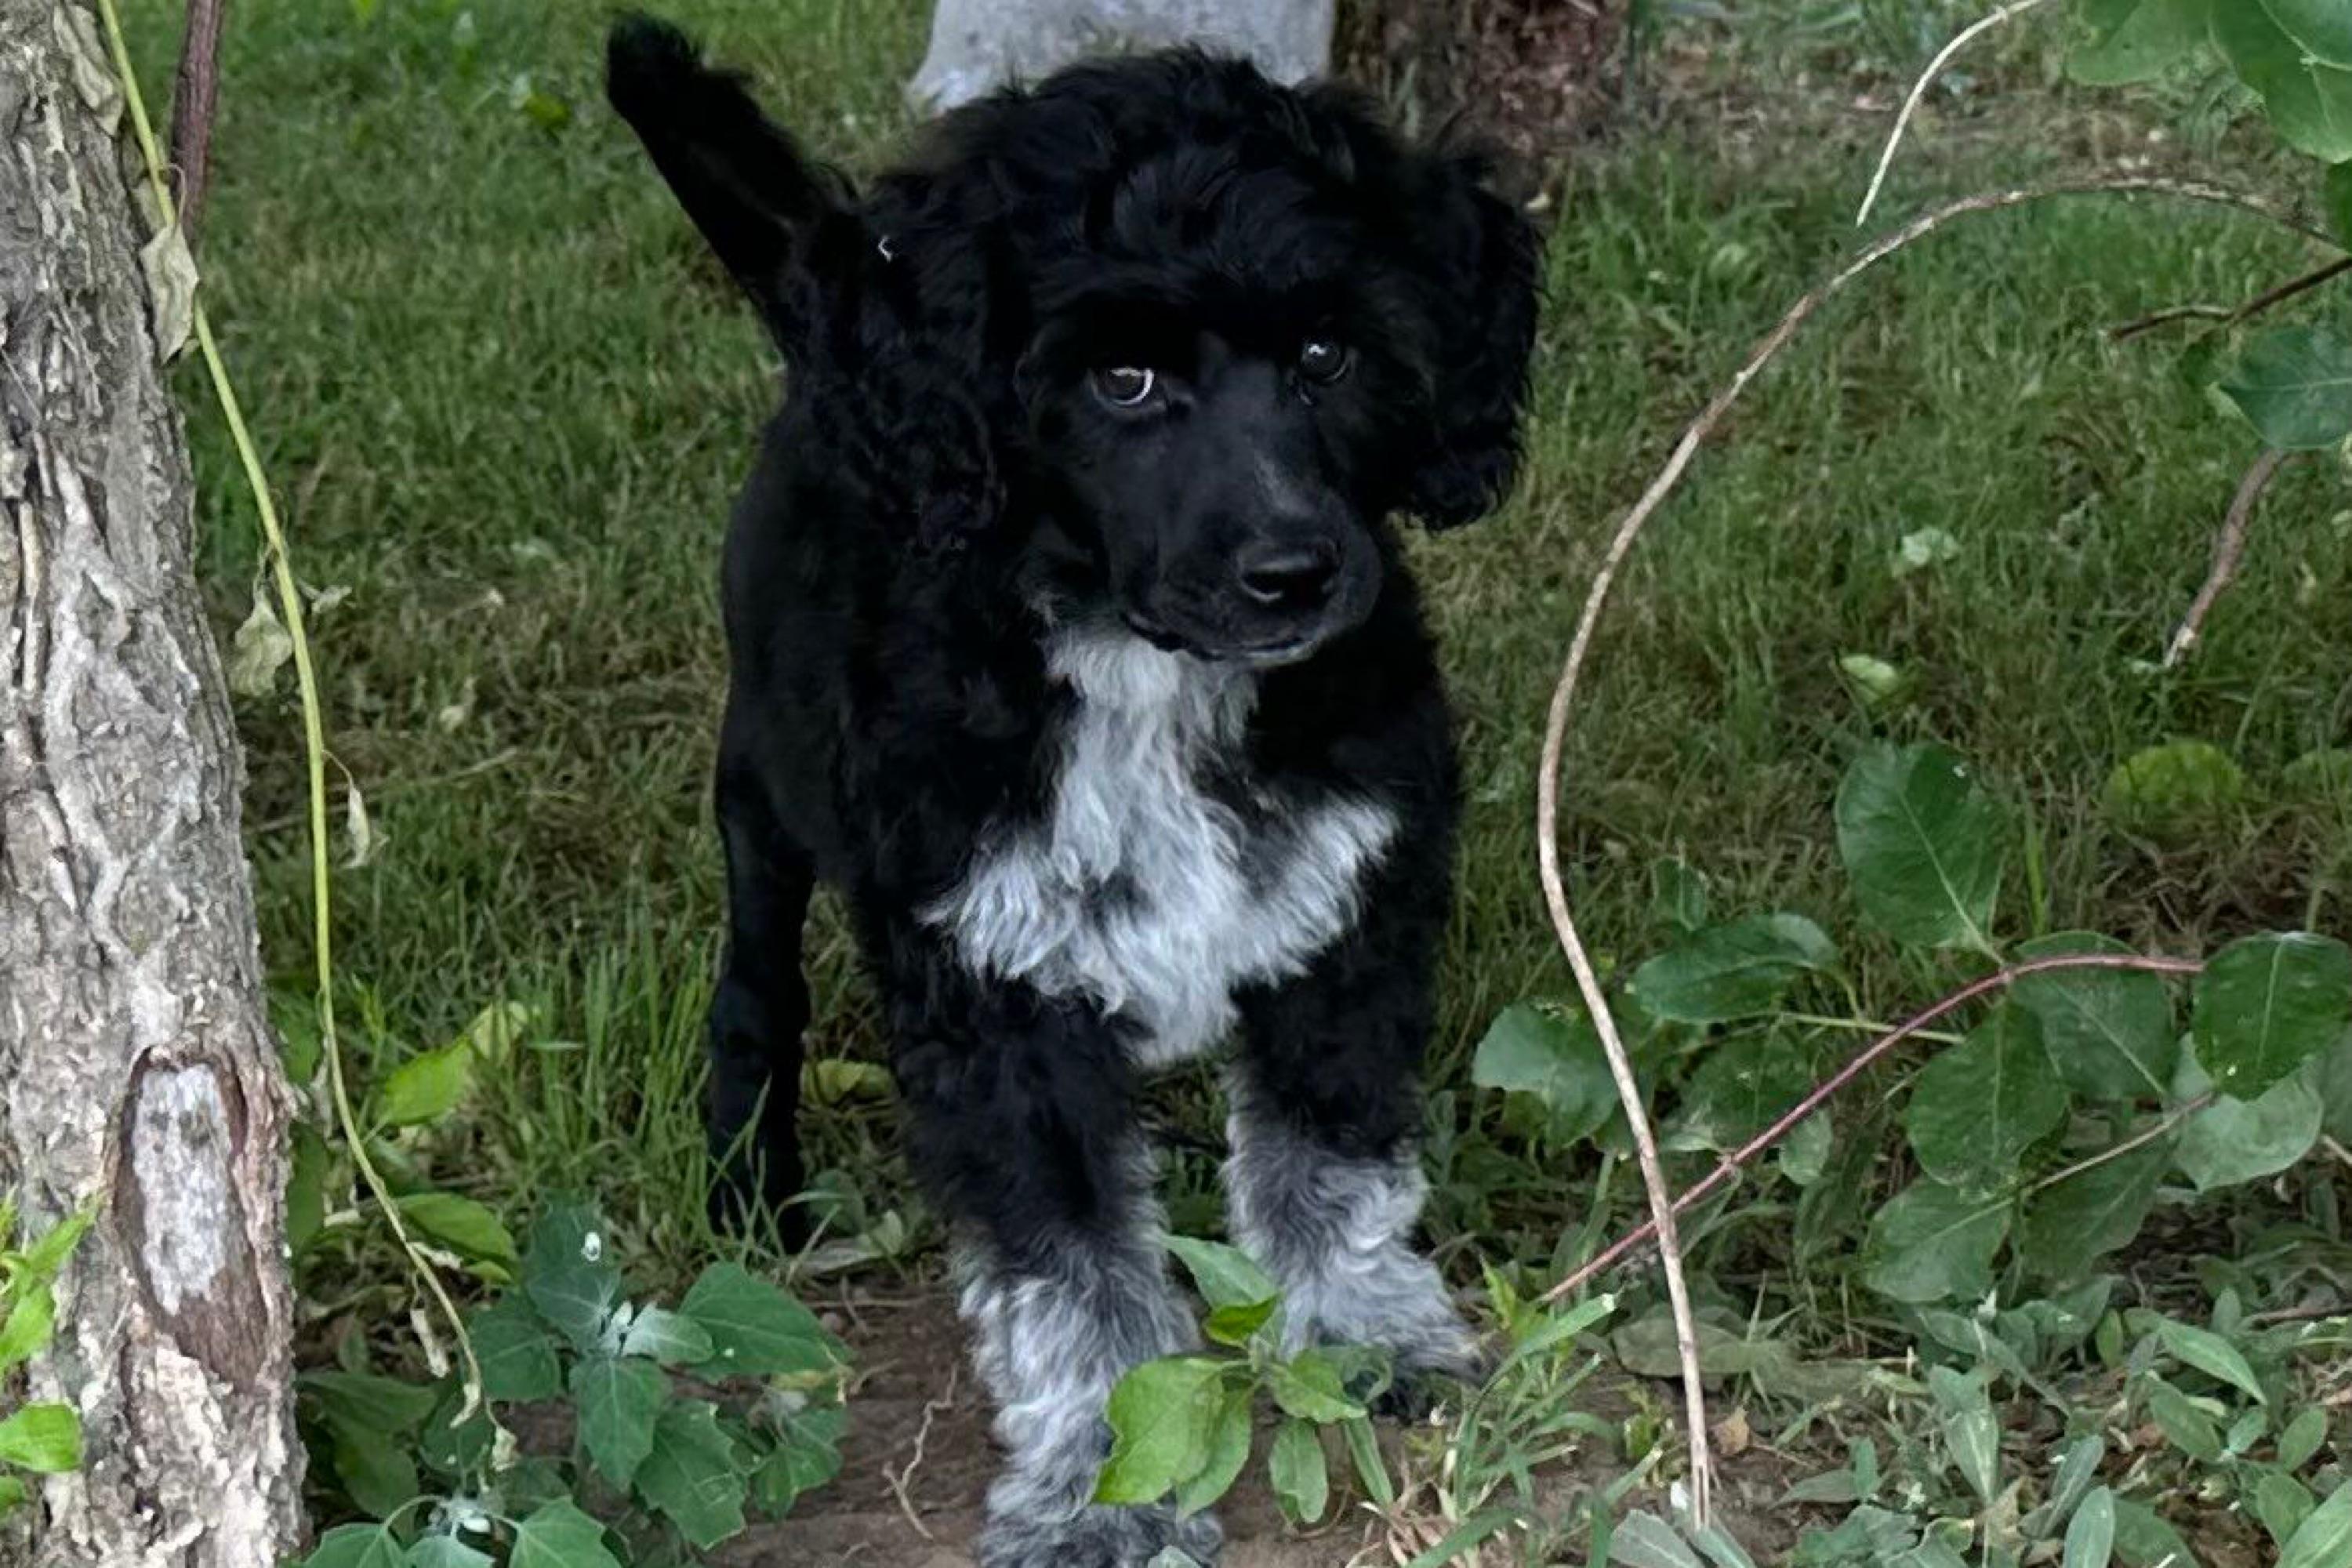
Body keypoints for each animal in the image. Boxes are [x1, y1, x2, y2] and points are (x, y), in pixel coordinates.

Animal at [607, 19, 1540, 1565]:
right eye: (1122, 384)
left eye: (1328, 355)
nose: (1295, 574)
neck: (1146, 679)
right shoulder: (994, 989)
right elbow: (1071, 1272)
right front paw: (1103, 1491)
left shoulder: (1350, 908)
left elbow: (1333, 1154)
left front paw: (1363, 1332)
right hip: (764, 774)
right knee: (757, 975)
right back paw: (751, 1174)